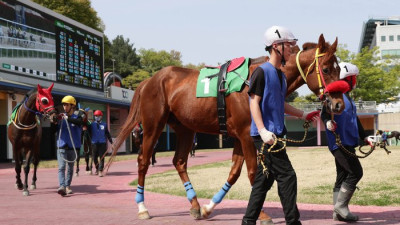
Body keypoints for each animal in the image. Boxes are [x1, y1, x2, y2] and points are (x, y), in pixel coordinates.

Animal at [108, 34, 346, 222]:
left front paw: (208, 207)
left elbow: (234, 173)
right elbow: (252, 173)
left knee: (179, 162)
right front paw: (262, 214)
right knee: (143, 161)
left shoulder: (240, 137)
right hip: (153, 126)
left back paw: (195, 205)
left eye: (339, 70)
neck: (253, 82)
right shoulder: (247, 135)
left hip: (185, 128)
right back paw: (142, 207)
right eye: (326, 69)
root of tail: (150, 80)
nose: (338, 105)